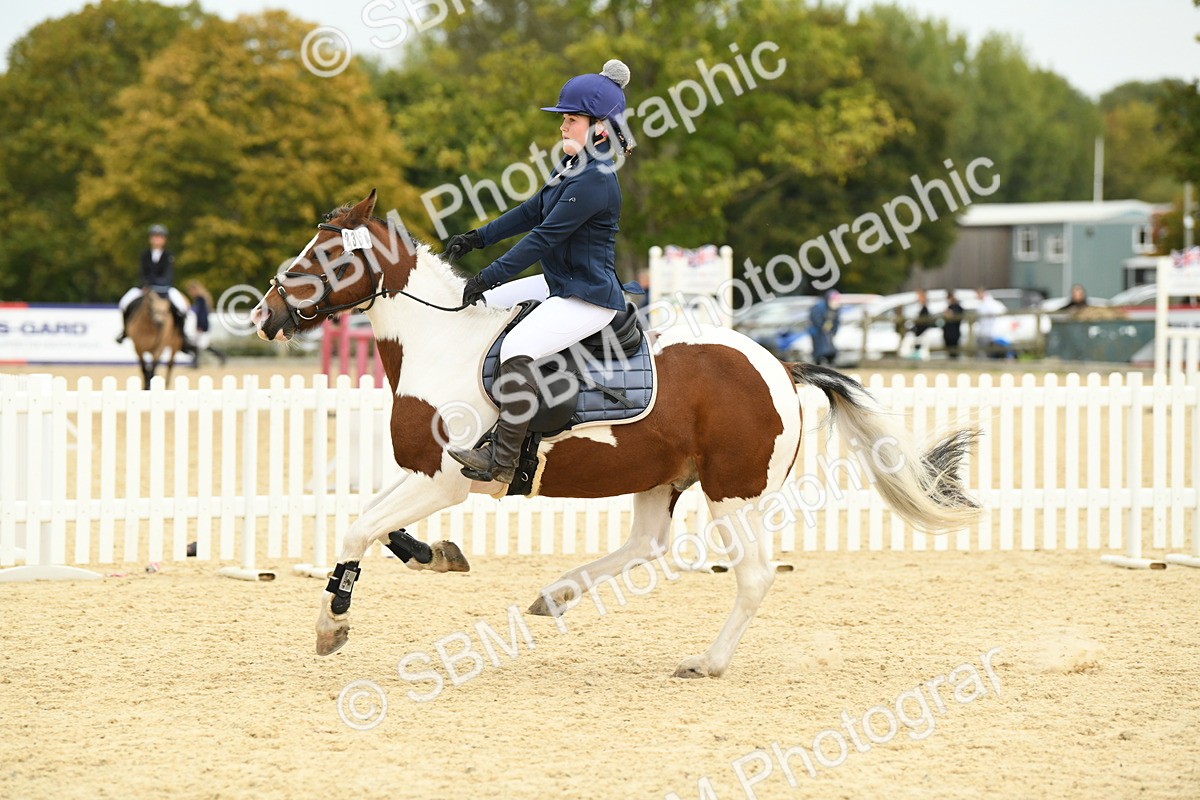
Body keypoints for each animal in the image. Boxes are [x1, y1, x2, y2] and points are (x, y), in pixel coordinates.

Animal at [250, 190, 981, 678]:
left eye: (326, 255)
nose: (263, 314)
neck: (442, 342)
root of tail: (782, 364)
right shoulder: (422, 474)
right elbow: (375, 523)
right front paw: (436, 555)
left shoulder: (447, 479)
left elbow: (357, 529)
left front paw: (332, 625)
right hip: (664, 480)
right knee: (647, 545)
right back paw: (557, 594)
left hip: (732, 493)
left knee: (751, 574)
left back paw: (707, 662)